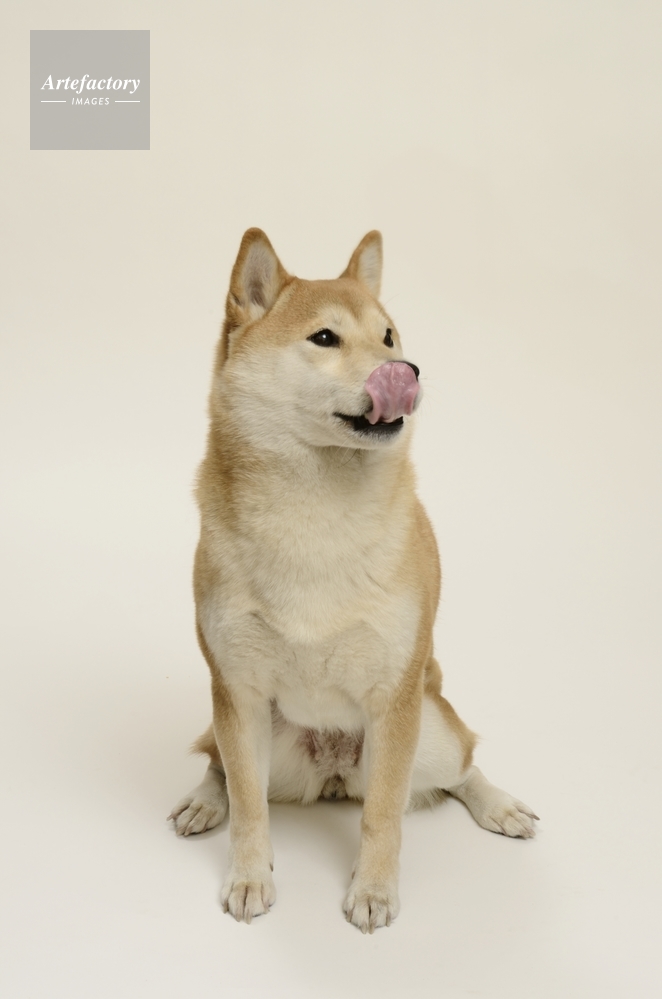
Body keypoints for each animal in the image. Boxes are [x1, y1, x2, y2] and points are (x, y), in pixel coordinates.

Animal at [168, 229, 538, 932]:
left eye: (390, 336)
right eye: (325, 338)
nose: (408, 371)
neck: (317, 518)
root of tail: (335, 773)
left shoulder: (394, 698)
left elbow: (384, 816)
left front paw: (373, 890)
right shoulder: (238, 690)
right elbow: (250, 808)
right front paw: (250, 877)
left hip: (426, 730)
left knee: (461, 765)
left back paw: (499, 805)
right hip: (265, 739)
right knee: (220, 765)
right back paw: (204, 800)